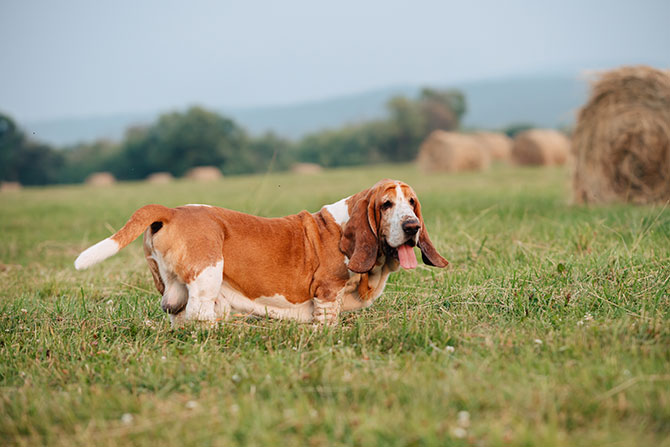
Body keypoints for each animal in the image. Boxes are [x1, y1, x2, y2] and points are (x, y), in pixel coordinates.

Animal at [73, 178, 448, 326]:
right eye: (386, 204)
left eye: (412, 202)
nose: (412, 227)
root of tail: (172, 211)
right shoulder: (326, 292)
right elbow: (327, 320)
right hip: (209, 271)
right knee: (198, 314)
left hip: (172, 285)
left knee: (178, 314)